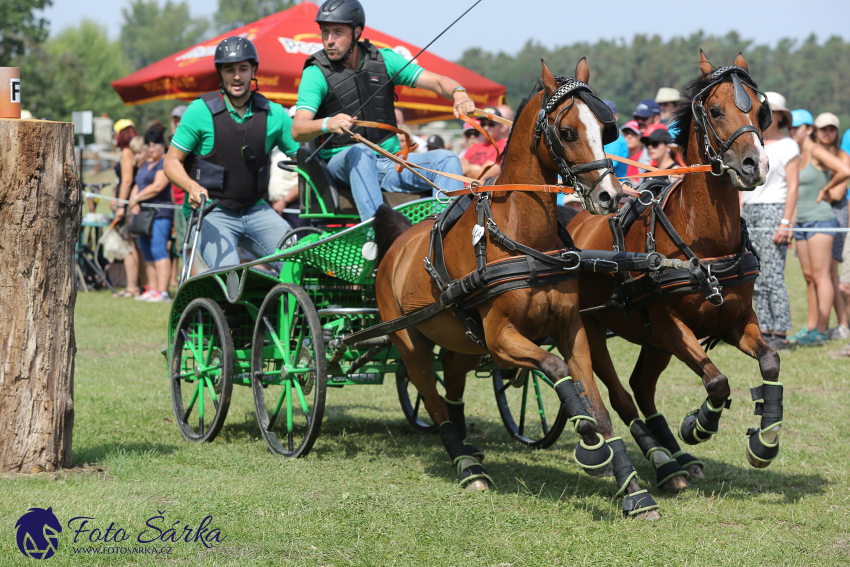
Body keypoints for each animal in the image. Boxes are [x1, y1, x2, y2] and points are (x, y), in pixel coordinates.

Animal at [374, 58, 660, 520]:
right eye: (567, 132)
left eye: (606, 130)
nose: (609, 196)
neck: (523, 240)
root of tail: (398, 242)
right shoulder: (503, 338)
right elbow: (556, 371)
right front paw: (589, 444)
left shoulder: (570, 332)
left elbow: (599, 407)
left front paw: (634, 492)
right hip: (410, 343)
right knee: (431, 399)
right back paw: (467, 465)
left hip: (463, 341)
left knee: (451, 382)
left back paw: (468, 445)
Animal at [568, 51, 780, 490]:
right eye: (715, 111)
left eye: (760, 109)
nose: (756, 165)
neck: (705, 242)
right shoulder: (670, 326)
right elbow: (716, 380)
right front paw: (697, 425)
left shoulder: (734, 320)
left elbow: (770, 361)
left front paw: (764, 443)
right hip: (594, 331)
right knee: (622, 395)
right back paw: (666, 462)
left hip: (651, 341)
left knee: (642, 387)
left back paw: (678, 459)